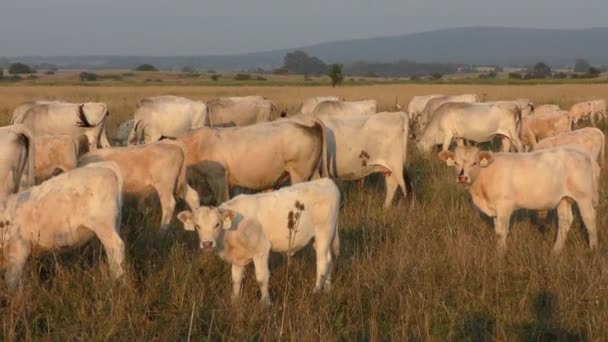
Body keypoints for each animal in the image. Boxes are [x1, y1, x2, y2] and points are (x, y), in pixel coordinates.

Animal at [0, 162, 125, 290]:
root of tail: (103, 166)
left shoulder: (18, 248)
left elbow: (12, 278)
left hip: (103, 226)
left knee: (115, 248)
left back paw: (116, 280)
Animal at [177, 178, 342, 304]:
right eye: (197, 226)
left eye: (217, 224)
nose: (207, 243)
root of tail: (326, 181)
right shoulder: (238, 258)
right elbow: (236, 280)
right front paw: (234, 302)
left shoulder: (261, 251)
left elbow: (262, 278)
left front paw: (265, 303)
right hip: (322, 238)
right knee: (329, 260)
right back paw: (327, 289)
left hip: (323, 233)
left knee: (322, 263)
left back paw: (316, 291)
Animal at [436, 146, 600, 255]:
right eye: (456, 163)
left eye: (474, 163)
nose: (462, 177)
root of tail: (583, 153)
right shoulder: (495, 209)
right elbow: (497, 230)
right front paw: (499, 252)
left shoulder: (504, 205)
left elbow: (501, 232)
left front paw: (500, 255)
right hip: (563, 199)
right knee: (565, 221)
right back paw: (555, 251)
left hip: (584, 197)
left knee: (589, 219)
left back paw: (593, 249)